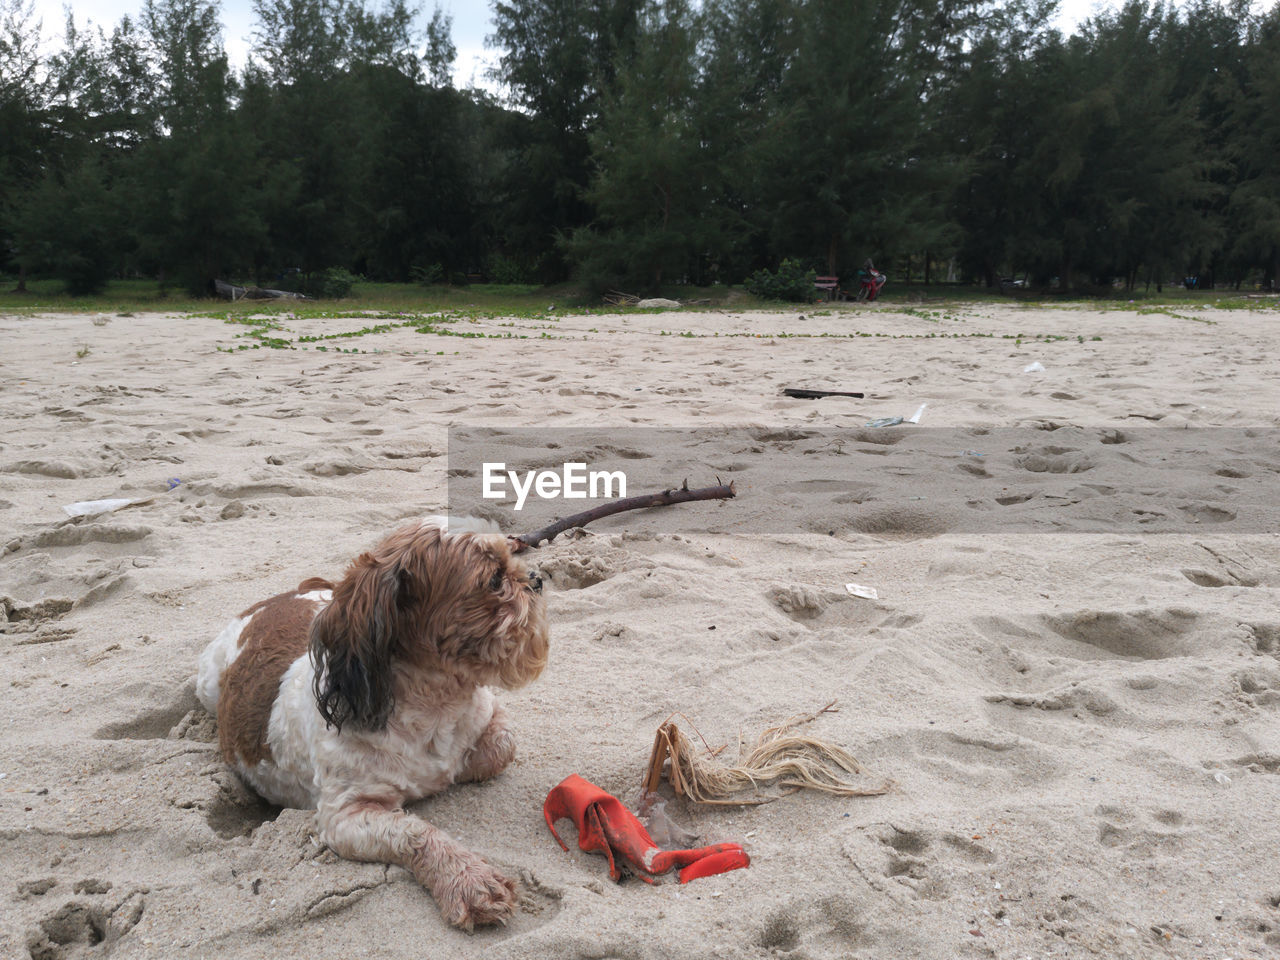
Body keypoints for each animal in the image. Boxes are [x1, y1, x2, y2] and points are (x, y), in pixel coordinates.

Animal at [195, 519, 550, 931]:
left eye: (513, 555)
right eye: (494, 579)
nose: (535, 578)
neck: (436, 700)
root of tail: (276, 599)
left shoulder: (487, 715)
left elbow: (500, 747)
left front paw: (454, 771)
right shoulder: (346, 815)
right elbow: (414, 832)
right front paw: (468, 880)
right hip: (207, 685)